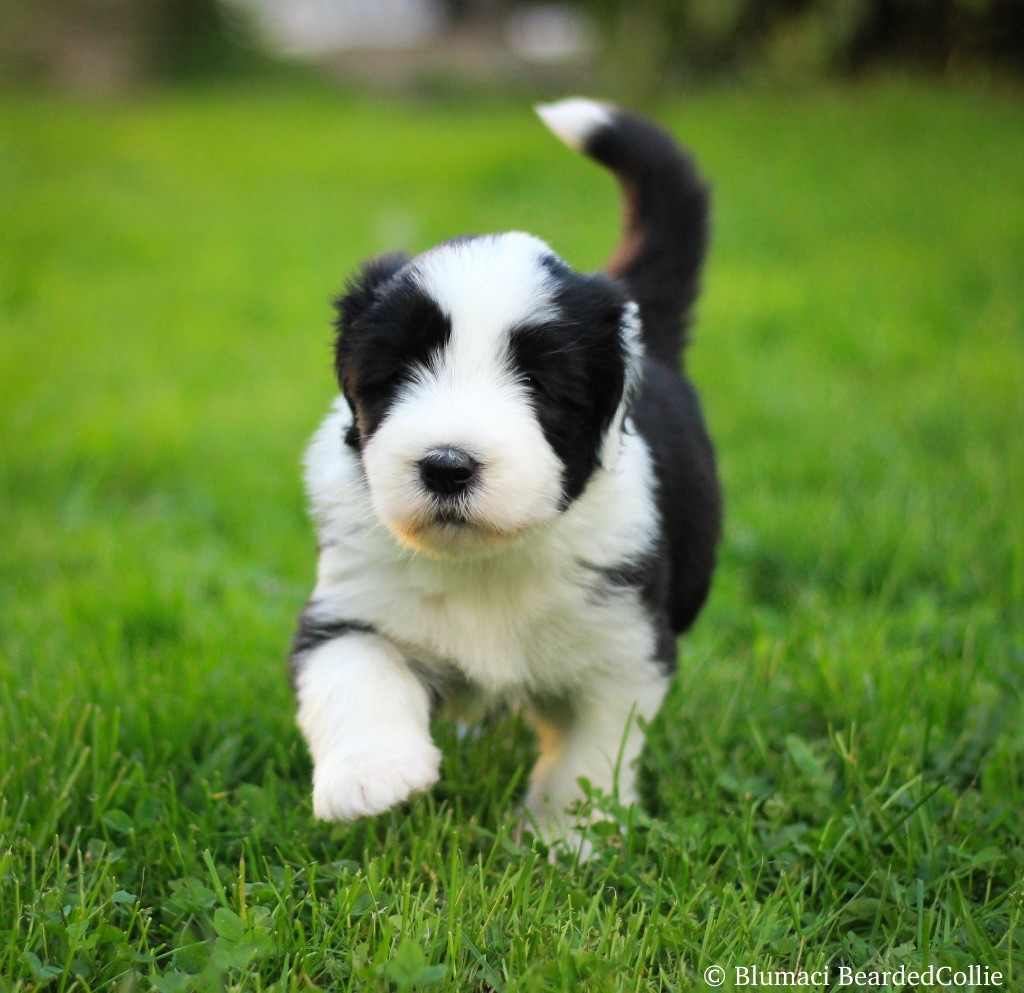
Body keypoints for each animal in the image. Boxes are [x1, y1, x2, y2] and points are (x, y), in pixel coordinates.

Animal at [288, 96, 720, 835]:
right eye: (394, 376)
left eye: (542, 386)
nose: (446, 466)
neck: (483, 561)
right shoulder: (349, 600)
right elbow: (352, 668)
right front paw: (371, 774)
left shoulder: (625, 643)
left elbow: (591, 753)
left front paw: (567, 835)